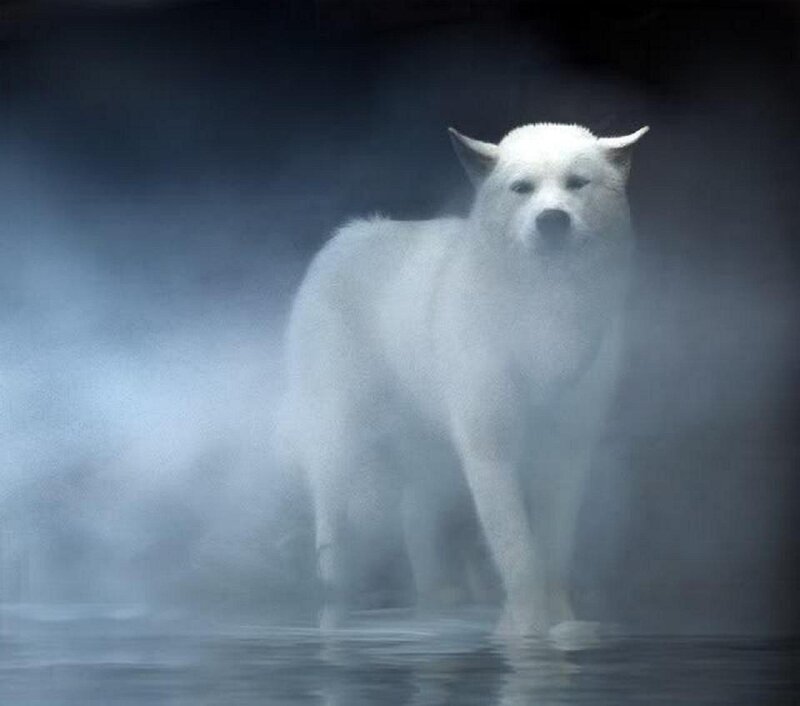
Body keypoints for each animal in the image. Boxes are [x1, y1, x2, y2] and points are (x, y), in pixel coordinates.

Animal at [278, 122, 648, 636]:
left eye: (577, 183)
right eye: (521, 188)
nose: (552, 220)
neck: (547, 314)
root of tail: (346, 236)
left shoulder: (569, 444)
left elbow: (554, 547)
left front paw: (562, 625)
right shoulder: (488, 443)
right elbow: (516, 549)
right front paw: (526, 630)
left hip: (429, 449)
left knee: (414, 515)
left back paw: (438, 600)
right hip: (340, 434)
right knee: (331, 519)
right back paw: (336, 600)